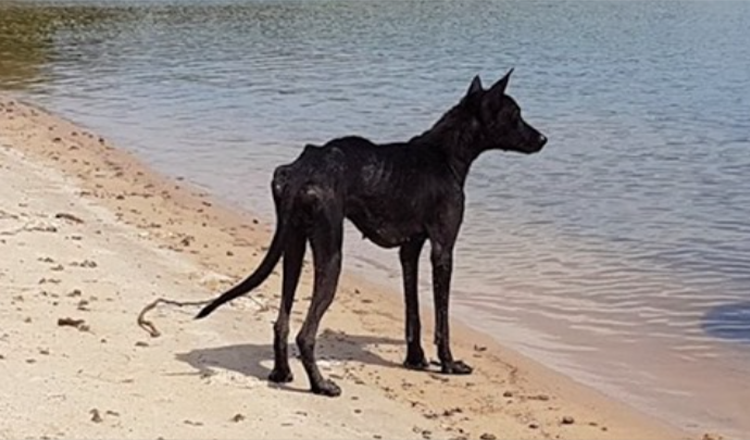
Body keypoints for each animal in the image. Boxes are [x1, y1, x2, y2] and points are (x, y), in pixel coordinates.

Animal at [197, 70, 548, 398]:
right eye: (515, 114)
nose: (543, 139)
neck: (445, 155)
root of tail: (301, 170)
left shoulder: (409, 250)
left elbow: (412, 311)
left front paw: (415, 358)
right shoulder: (443, 249)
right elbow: (442, 318)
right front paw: (448, 363)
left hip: (293, 247)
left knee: (281, 322)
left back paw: (282, 373)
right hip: (331, 255)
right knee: (305, 334)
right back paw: (321, 385)